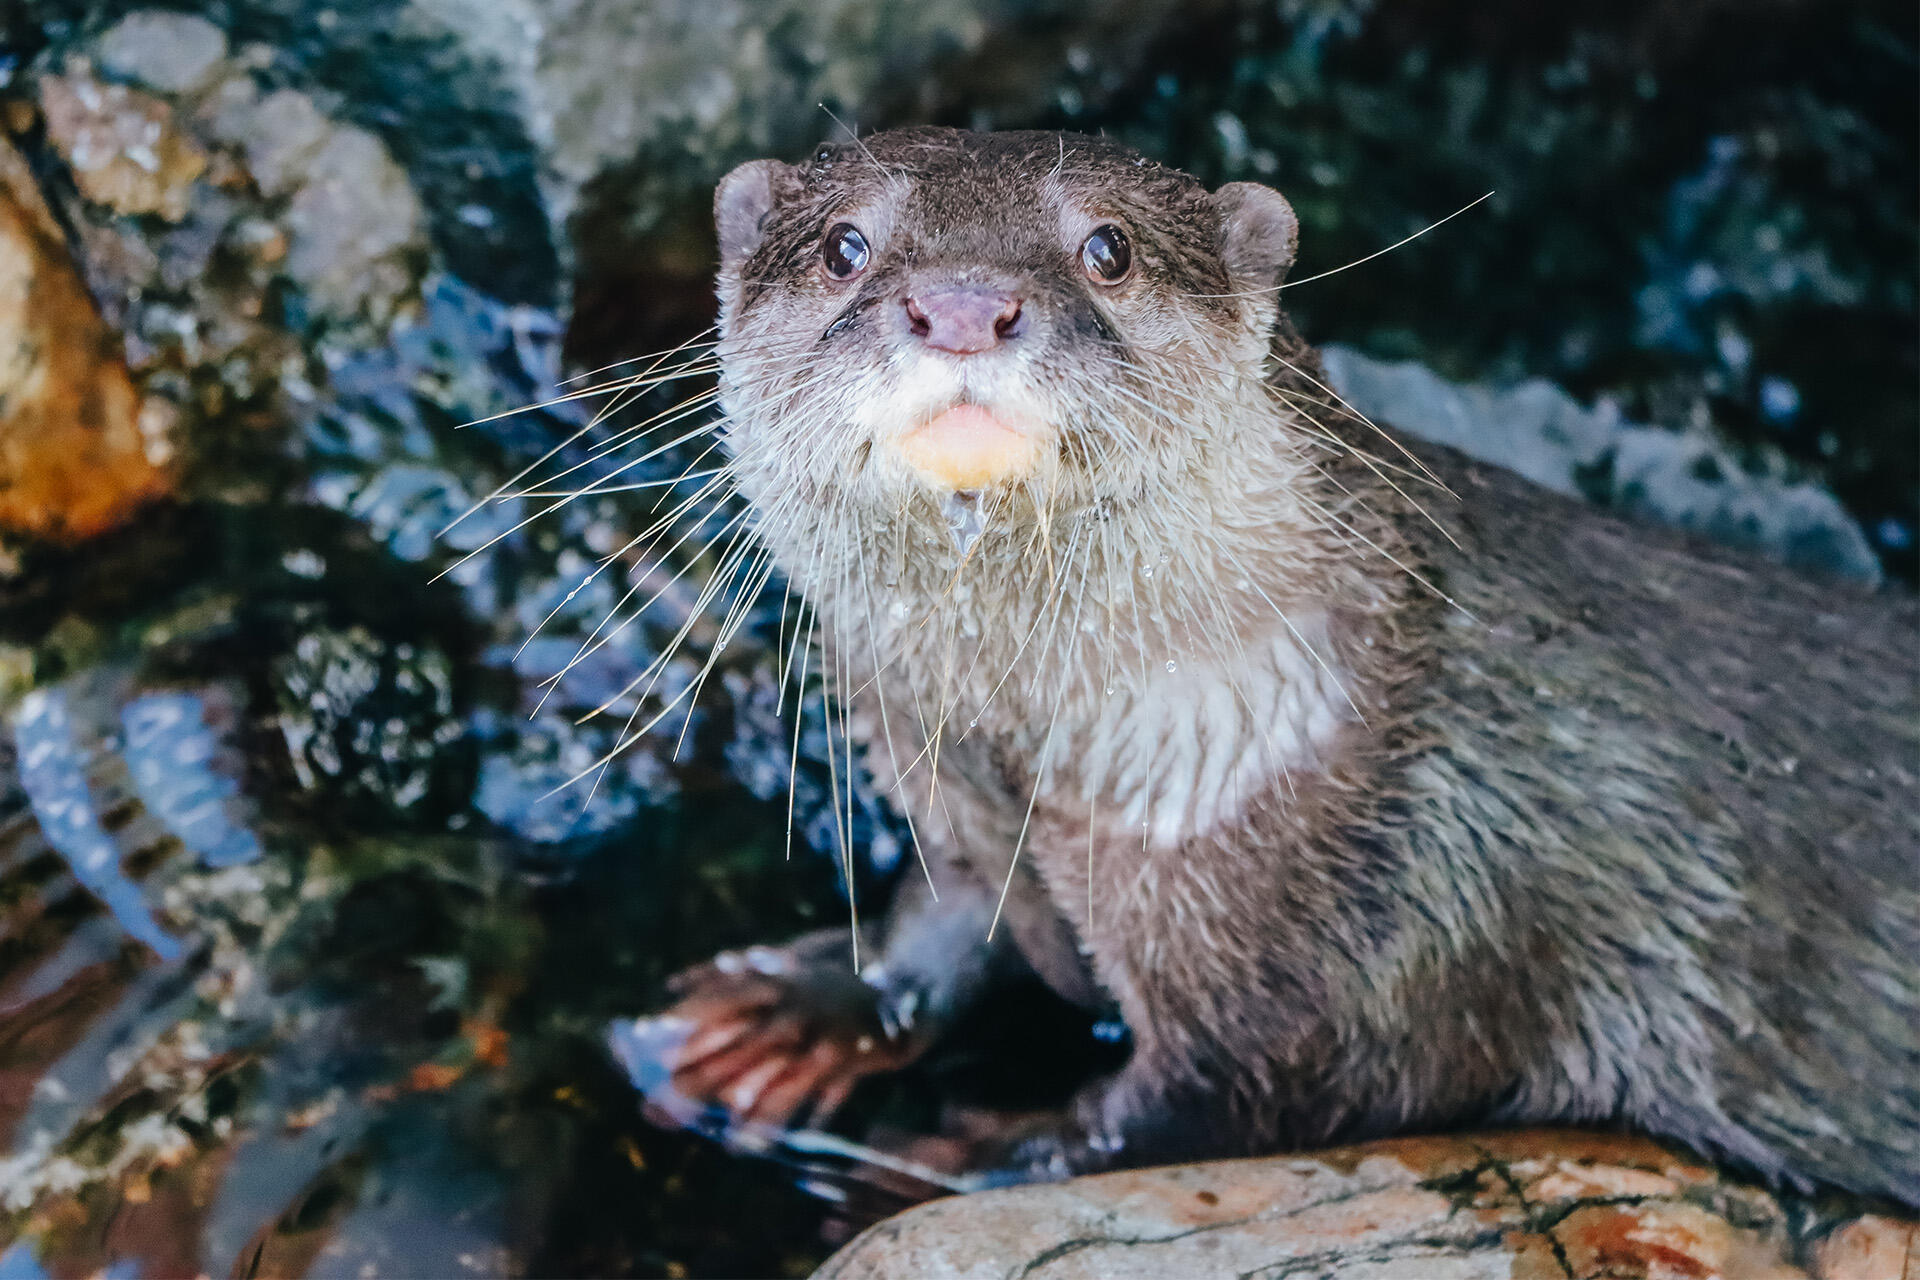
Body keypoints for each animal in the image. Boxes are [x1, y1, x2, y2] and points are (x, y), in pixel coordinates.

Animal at [631, 127, 1919, 1205]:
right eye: (845, 245)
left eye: (1109, 247)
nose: (960, 303)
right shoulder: (960, 802)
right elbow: (948, 913)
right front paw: (797, 1006)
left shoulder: (1377, 931)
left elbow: (1231, 1097)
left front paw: (975, 1149)